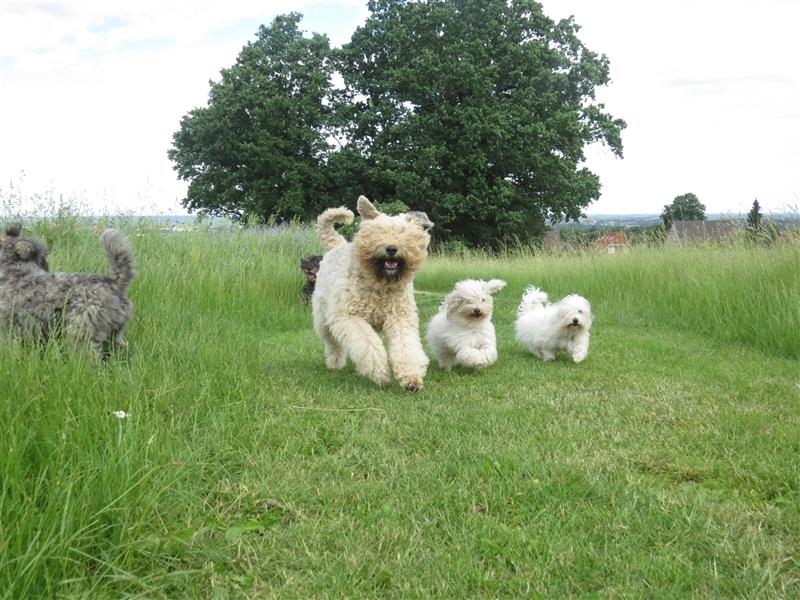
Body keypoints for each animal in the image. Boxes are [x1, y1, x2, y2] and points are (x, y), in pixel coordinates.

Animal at [310, 198, 434, 390]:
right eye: (378, 231)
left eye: (403, 232)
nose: (391, 248)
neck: (380, 285)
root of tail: (338, 245)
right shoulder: (350, 318)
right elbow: (369, 345)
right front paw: (380, 374)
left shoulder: (400, 318)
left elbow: (406, 347)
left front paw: (411, 377)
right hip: (324, 319)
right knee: (333, 343)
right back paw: (335, 363)